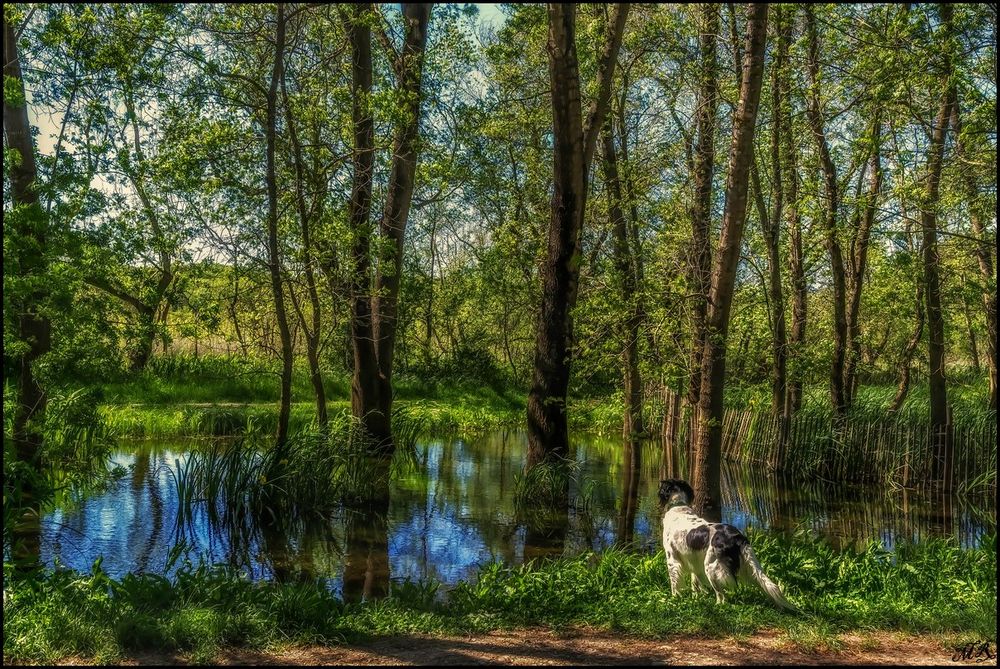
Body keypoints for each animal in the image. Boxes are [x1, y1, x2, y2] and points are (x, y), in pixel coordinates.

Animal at [660, 478, 792, 608]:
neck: (678, 505)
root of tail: (737, 536)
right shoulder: (693, 560)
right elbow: (695, 583)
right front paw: (695, 599)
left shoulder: (672, 560)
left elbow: (675, 584)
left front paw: (674, 600)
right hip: (748, 566)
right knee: (767, 584)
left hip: (711, 567)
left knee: (722, 596)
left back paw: (718, 606)